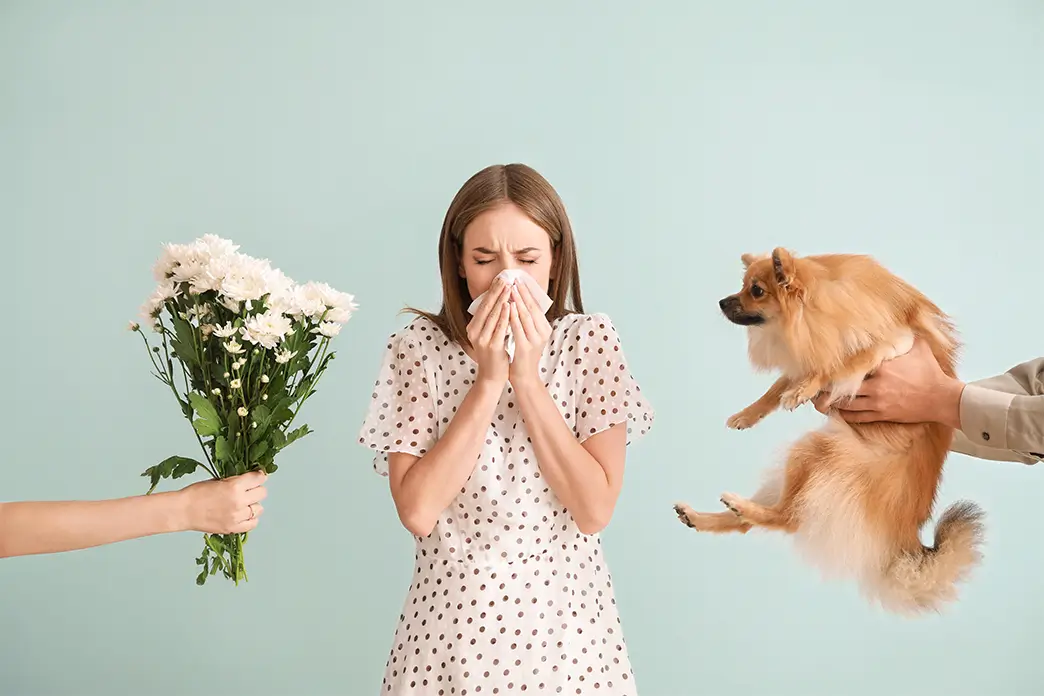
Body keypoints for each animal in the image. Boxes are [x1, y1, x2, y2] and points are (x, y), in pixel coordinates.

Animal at [676, 249, 985, 613]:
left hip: (816, 452)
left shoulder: (893, 343)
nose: (723, 302)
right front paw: (749, 414)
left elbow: (842, 362)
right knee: (750, 525)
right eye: (742, 286)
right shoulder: (807, 353)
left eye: (756, 291)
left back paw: (740, 506)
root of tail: (905, 537)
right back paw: (700, 516)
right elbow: (777, 388)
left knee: (788, 519)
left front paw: (804, 388)